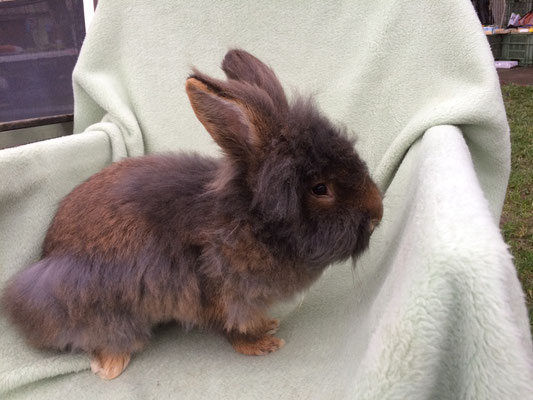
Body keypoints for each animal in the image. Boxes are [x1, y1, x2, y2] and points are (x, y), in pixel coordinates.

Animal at [1, 48, 382, 380]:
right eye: (320, 189)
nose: (377, 213)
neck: (252, 219)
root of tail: (45, 254)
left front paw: (269, 326)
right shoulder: (226, 294)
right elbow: (235, 328)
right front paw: (263, 344)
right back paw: (110, 366)